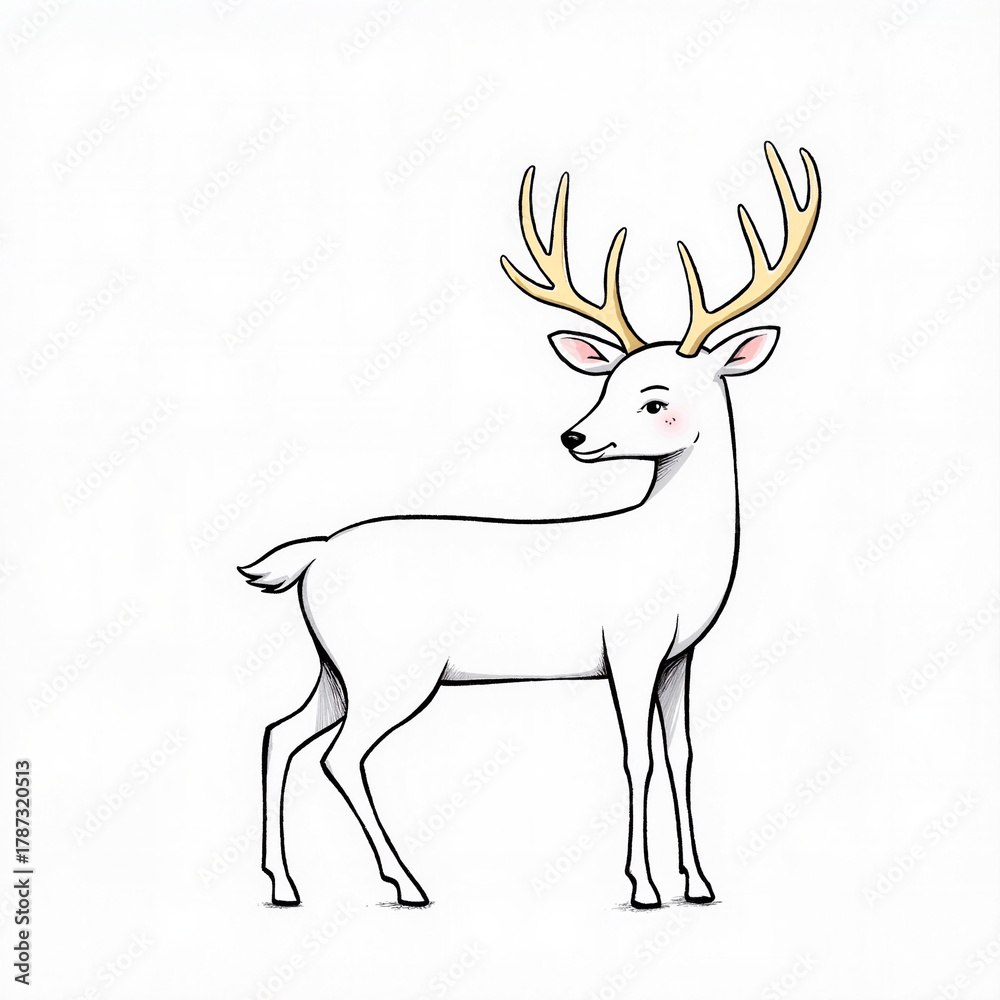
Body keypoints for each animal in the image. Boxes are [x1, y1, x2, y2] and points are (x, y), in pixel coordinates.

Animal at [239, 141, 820, 909]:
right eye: (606, 383)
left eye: (655, 399)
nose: (575, 437)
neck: (673, 554)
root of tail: (314, 556)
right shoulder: (629, 646)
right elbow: (637, 757)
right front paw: (642, 886)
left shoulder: (680, 655)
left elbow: (682, 754)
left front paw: (698, 883)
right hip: (391, 667)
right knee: (340, 755)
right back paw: (407, 882)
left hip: (337, 666)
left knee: (281, 733)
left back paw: (285, 884)